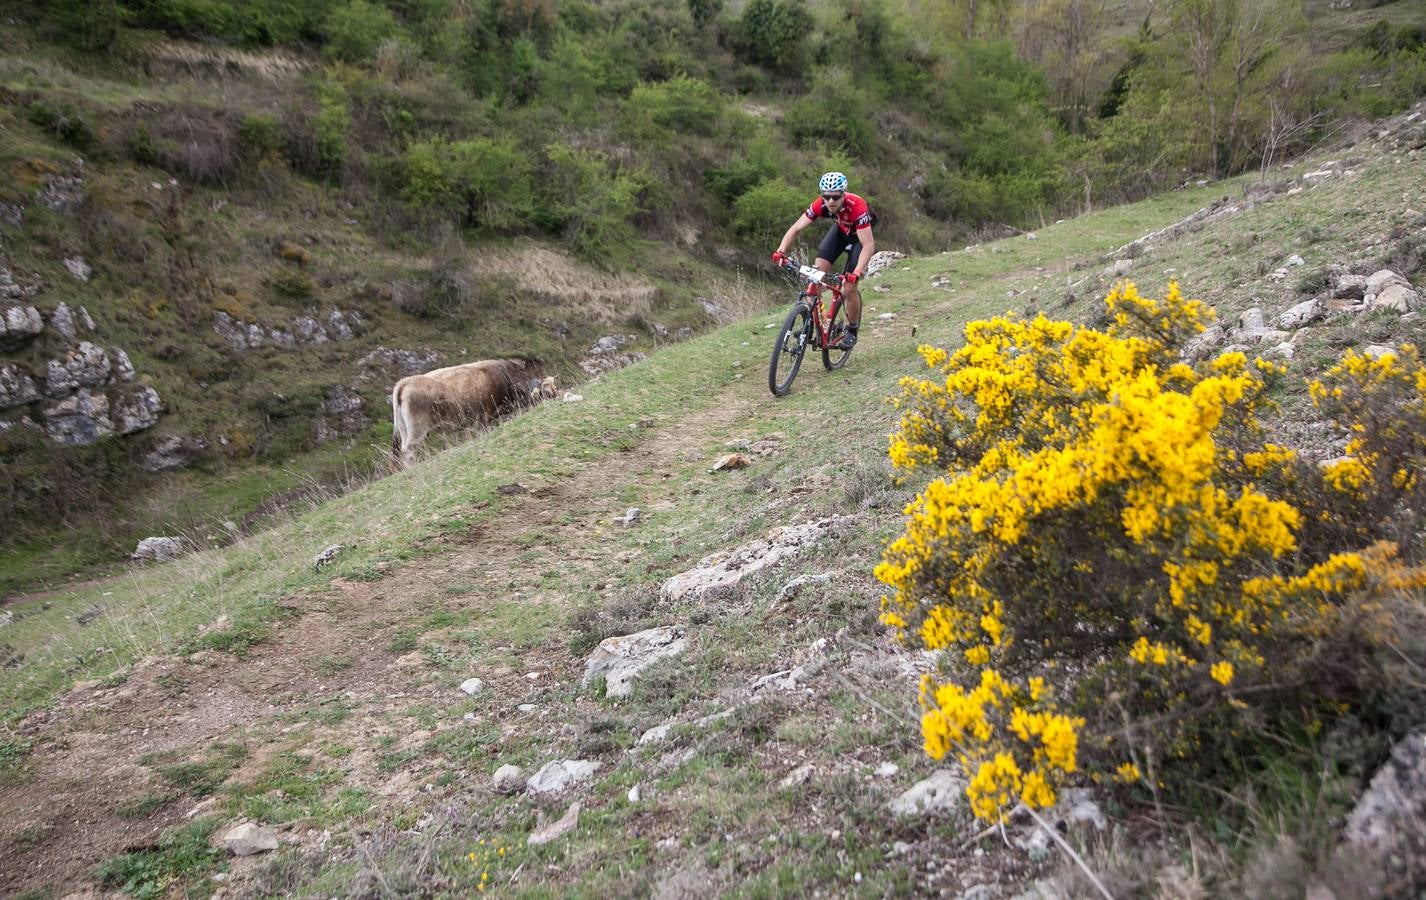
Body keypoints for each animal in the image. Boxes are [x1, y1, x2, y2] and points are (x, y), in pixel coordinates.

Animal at [390, 358, 556, 467]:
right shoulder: (485, 416)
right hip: (417, 429)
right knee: (409, 450)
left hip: (404, 429)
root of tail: (404, 382)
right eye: (546, 390)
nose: (556, 395)